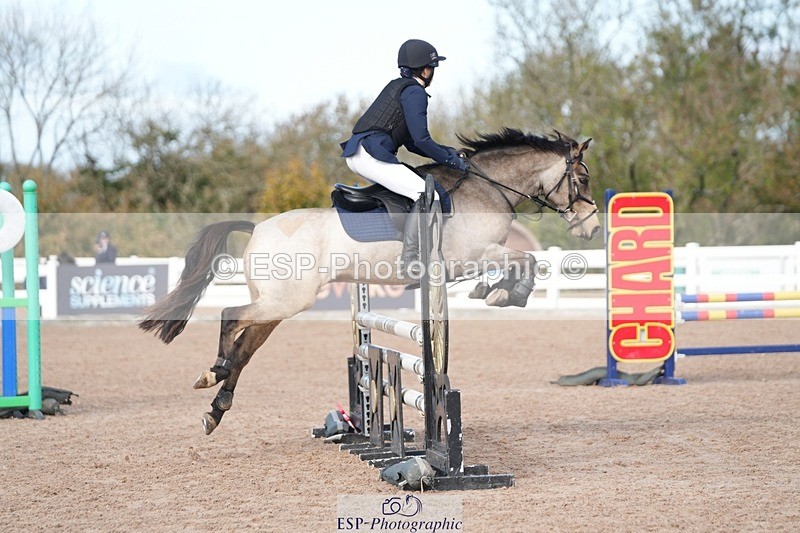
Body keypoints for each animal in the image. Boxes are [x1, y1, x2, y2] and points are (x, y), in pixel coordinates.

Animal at [139, 128, 601, 434]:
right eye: (582, 178)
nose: (592, 228)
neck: (487, 190)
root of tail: (257, 228)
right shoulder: (469, 257)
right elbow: (529, 261)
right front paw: (502, 294)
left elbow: (525, 262)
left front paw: (495, 290)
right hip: (285, 301)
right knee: (230, 316)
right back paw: (213, 372)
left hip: (277, 306)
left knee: (245, 349)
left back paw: (216, 407)